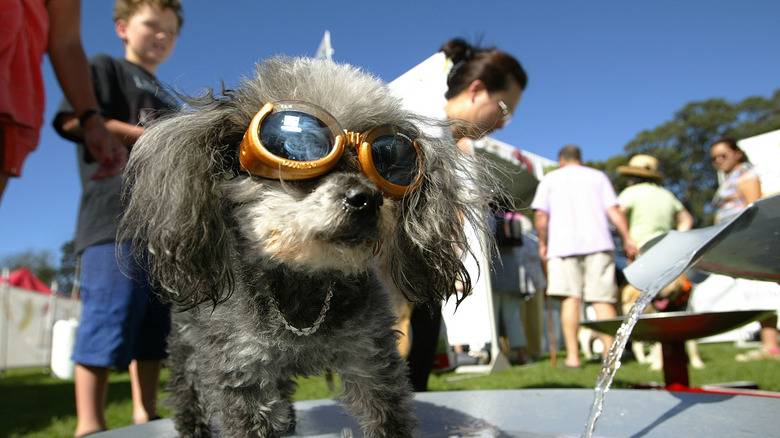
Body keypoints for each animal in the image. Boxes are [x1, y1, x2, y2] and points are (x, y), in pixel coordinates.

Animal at [120, 58, 500, 438]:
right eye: (297, 146)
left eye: (390, 160)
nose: (367, 200)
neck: (303, 288)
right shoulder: (240, 368)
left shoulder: (371, 356)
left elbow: (388, 415)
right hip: (185, 343)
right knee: (185, 386)